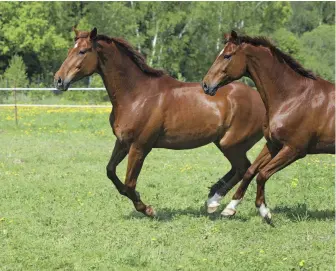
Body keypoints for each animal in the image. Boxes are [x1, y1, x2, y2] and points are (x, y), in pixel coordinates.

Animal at [54, 28, 266, 217]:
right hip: (224, 143)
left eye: (82, 51)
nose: (58, 80)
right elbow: (111, 172)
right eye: (70, 50)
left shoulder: (140, 147)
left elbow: (129, 184)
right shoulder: (122, 142)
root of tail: (263, 100)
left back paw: (218, 203)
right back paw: (213, 198)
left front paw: (147, 209)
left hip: (231, 145)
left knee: (244, 167)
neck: (136, 95)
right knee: (239, 168)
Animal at [201, 30, 334, 225]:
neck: (293, 97)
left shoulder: (294, 150)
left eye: (227, 56)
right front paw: (229, 208)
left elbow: (262, 174)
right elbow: (250, 171)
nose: (205, 85)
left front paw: (265, 212)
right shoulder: (273, 144)